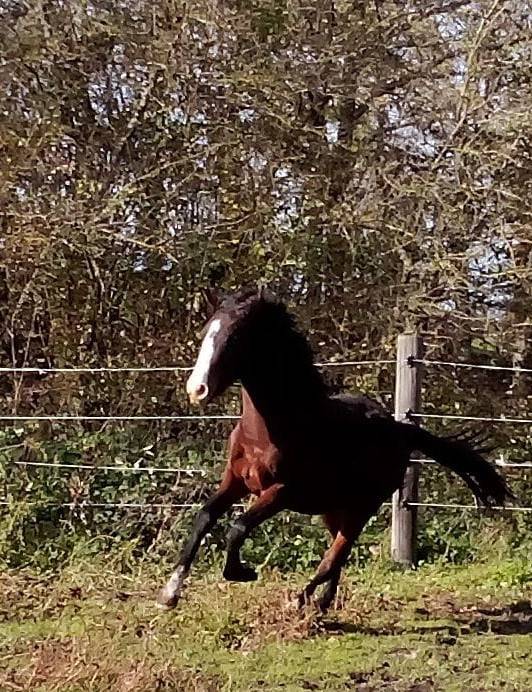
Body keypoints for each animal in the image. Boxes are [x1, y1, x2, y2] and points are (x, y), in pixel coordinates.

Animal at [158, 287, 512, 611]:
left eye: (234, 339)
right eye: (207, 332)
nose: (196, 390)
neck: (270, 430)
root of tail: (399, 428)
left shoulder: (280, 491)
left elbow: (238, 527)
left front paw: (241, 573)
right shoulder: (235, 480)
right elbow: (204, 517)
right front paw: (170, 593)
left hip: (361, 506)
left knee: (336, 555)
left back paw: (303, 600)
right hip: (333, 507)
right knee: (337, 555)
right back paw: (322, 602)